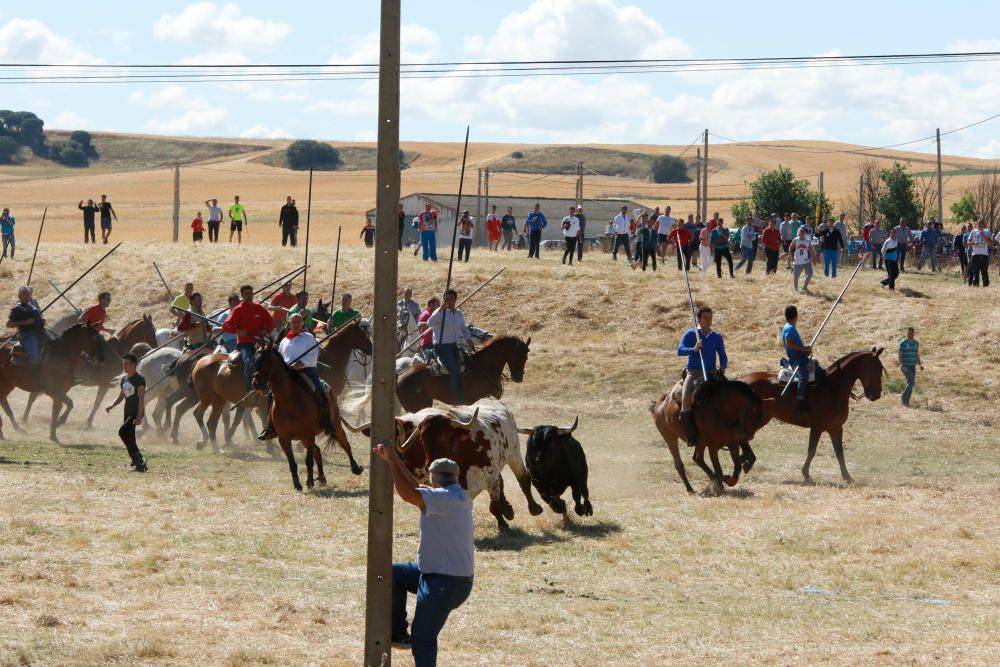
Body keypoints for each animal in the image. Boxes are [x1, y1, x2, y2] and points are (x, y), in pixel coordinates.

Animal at [20, 314, 157, 428]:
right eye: (150, 331)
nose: (155, 347)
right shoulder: (104, 384)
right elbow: (97, 403)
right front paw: (89, 422)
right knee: (34, 396)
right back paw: (25, 418)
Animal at [252, 344, 362, 490]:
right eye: (254, 360)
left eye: (266, 361)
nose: (256, 383)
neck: (289, 400)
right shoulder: (284, 438)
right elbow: (292, 463)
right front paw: (297, 485)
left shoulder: (308, 434)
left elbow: (308, 460)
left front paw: (309, 481)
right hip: (304, 438)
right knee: (317, 451)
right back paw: (321, 477)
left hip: (335, 424)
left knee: (345, 444)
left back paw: (355, 468)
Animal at [346, 400, 548, 528]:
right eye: (422, 439)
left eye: (446, 436)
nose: (430, 462)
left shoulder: (489, 475)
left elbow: (495, 502)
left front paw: (503, 523)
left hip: (514, 453)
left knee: (523, 480)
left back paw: (534, 508)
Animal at [394, 334, 532, 412]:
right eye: (520, 355)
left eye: (526, 357)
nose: (518, 377)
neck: (484, 367)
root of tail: (400, 375)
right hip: (415, 407)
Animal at [740, 350, 888, 486]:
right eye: (874, 368)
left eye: (880, 368)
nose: (876, 394)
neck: (832, 387)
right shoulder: (817, 428)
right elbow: (812, 451)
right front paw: (806, 475)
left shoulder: (836, 428)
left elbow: (839, 453)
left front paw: (847, 477)